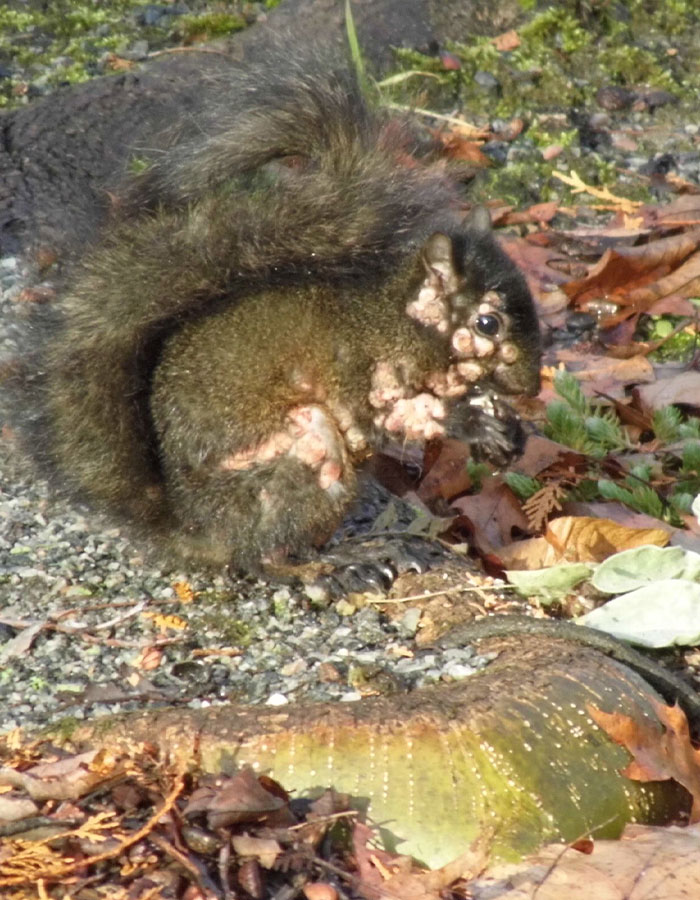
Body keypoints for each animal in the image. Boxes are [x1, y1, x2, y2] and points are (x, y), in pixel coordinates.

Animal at [23, 52, 542, 577]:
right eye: (487, 323)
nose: (533, 388)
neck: (402, 324)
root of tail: (196, 530)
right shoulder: (363, 371)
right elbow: (393, 420)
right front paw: (469, 422)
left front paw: (507, 433)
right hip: (305, 452)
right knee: (262, 554)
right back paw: (335, 562)